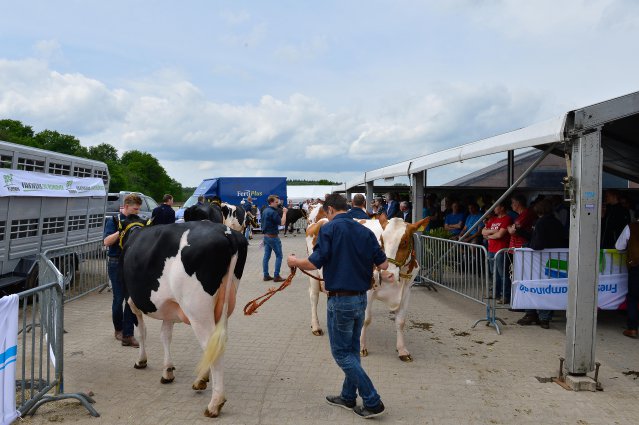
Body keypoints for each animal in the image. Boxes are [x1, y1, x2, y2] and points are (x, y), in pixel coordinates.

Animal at [119, 217, 249, 416]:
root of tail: (226, 233)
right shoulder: (169, 307)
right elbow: (165, 336)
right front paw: (168, 371)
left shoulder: (131, 301)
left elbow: (141, 333)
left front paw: (141, 360)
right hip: (222, 306)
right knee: (215, 343)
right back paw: (201, 380)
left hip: (197, 309)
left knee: (212, 345)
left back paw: (215, 403)